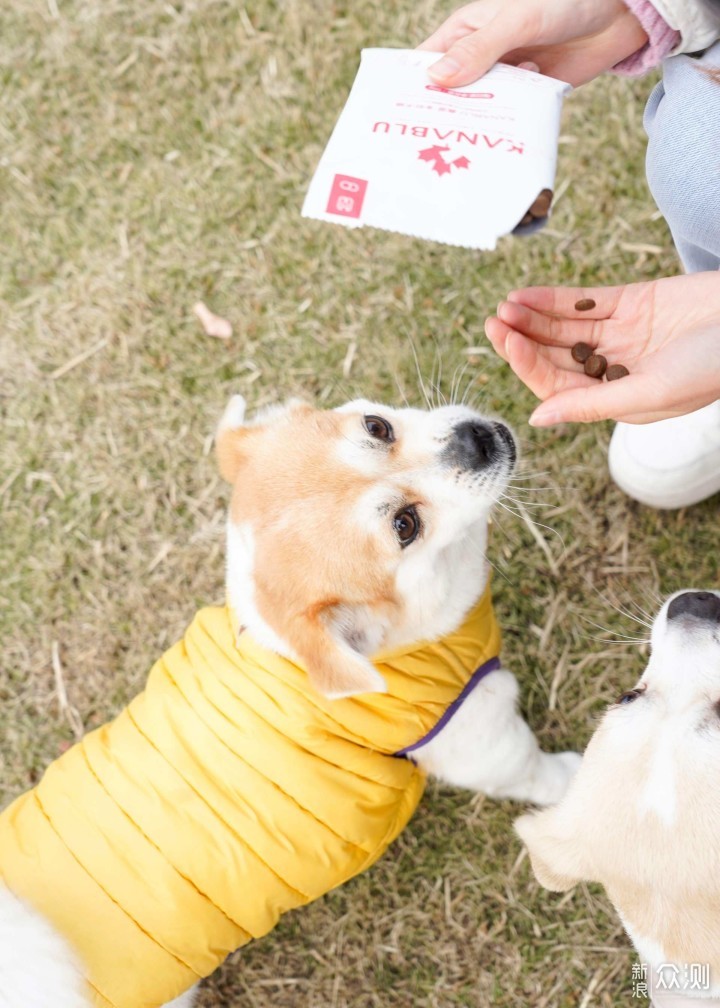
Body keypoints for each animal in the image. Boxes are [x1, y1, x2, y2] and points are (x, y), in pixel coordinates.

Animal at [0, 397, 576, 1003]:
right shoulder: (475, 735)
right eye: (405, 526)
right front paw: (575, 780)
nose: (475, 440)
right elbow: (534, 770)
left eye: (377, 426)